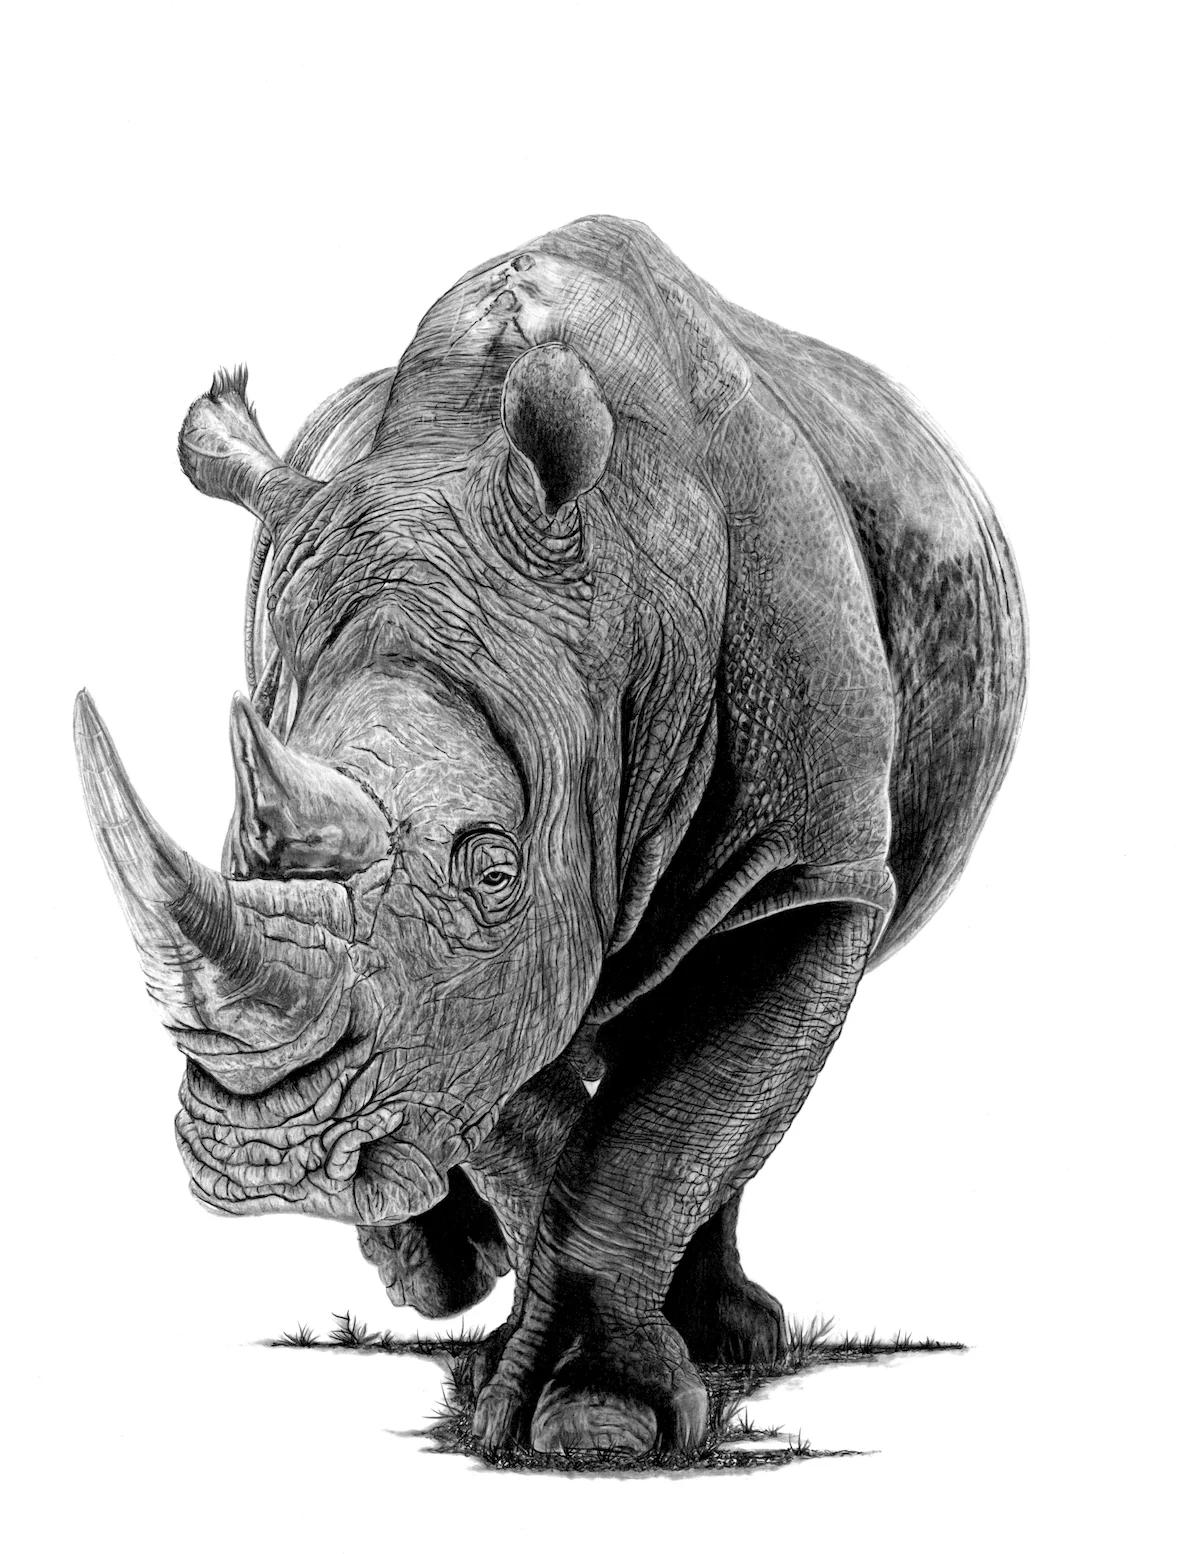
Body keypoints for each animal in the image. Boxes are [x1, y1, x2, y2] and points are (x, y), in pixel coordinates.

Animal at [75, 216, 1026, 1456]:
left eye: (491, 866)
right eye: (234, 844)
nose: (264, 1162)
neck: (619, 612)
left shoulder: (809, 870)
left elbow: (662, 1126)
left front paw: (599, 1426)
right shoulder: (455, 1009)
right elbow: (521, 1114)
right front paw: (526, 1369)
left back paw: (726, 1339)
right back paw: (454, 1286)